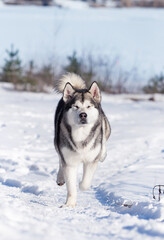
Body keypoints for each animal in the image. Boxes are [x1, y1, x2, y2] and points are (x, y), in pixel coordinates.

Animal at [54, 72, 111, 206]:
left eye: (89, 106)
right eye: (75, 106)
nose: (83, 115)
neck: (81, 134)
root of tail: (79, 87)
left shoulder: (91, 160)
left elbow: (85, 183)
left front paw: (81, 184)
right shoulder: (69, 161)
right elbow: (71, 186)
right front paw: (69, 205)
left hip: (105, 127)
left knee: (103, 140)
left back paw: (103, 153)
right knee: (60, 159)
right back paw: (60, 178)